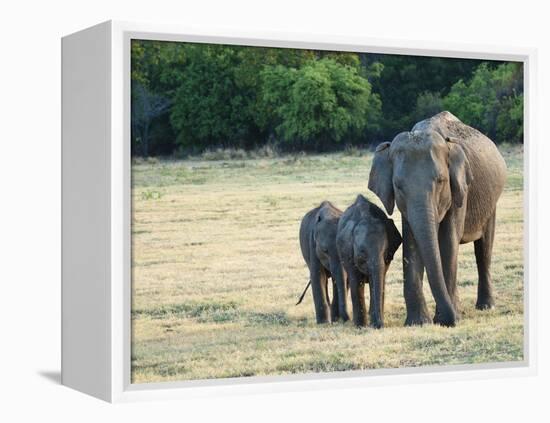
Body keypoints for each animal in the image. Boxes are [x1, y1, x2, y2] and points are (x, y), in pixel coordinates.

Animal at [336, 194, 402, 330]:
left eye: (385, 252)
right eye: (362, 253)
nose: (380, 326)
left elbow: (378, 280)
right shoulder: (348, 252)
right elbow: (356, 280)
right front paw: (360, 326)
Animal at [370, 111, 508, 326]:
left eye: (441, 181)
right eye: (398, 186)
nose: (451, 321)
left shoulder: (460, 190)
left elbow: (448, 241)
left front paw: (447, 318)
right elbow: (411, 243)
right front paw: (418, 323)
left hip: (491, 201)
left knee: (484, 249)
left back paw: (486, 306)